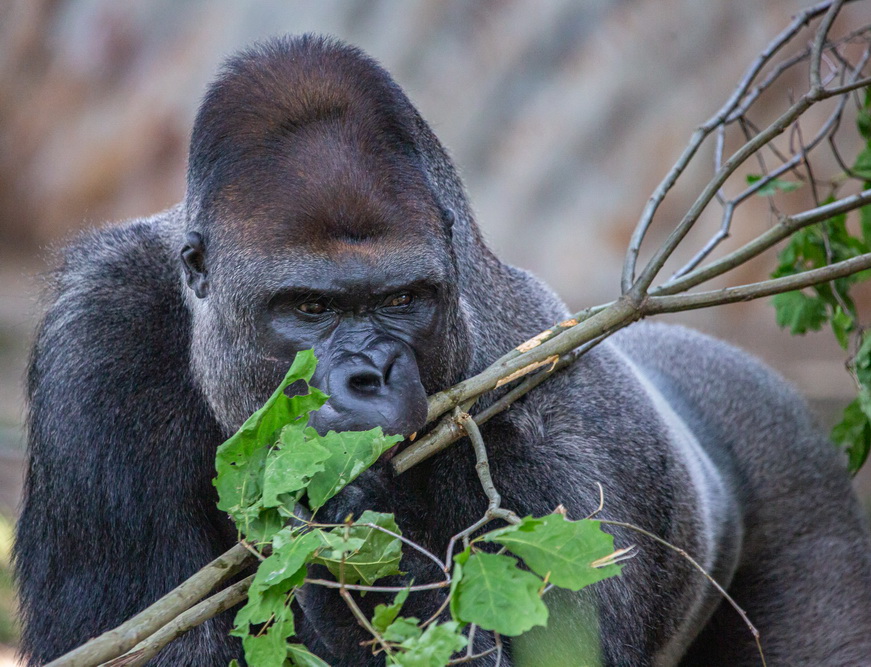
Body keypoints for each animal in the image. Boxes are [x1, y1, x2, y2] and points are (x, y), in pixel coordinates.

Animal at [13, 35, 871, 667]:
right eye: (310, 308)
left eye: (401, 299)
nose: (368, 375)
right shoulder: (100, 332)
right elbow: (145, 636)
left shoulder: (542, 404)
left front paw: (355, 536)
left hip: (800, 477)